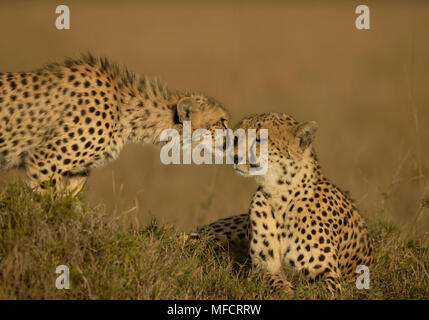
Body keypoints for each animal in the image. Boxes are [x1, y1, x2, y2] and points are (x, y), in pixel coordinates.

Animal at [192, 112, 372, 296]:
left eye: (260, 139)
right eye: (237, 138)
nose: (234, 157)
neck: (280, 194)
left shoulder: (328, 274)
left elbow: (313, 292)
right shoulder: (262, 267)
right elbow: (273, 280)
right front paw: (284, 290)